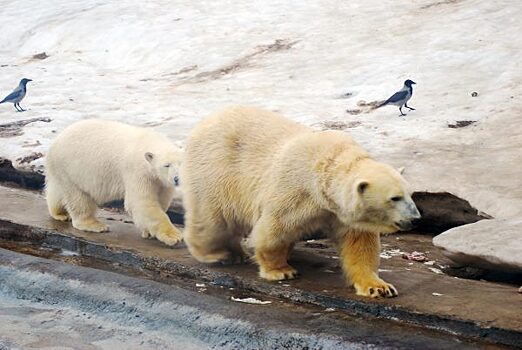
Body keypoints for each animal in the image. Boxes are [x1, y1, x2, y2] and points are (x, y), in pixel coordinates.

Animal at [45, 120, 183, 246]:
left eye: (181, 163)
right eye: (167, 165)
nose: (177, 178)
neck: (148, 141)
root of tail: (55, 143)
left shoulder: (161, 181)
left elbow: (161, 200)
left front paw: (148, 232)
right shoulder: (137, 171)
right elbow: (142, 203)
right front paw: (173, 236)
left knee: (57, 191)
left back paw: (60, 213)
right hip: (71, 168)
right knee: (78, 198)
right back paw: (95, 225)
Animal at [182, 106, 418, 298]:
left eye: (411, 194)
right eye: (394, 198)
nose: (415, 218)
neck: (325, 170)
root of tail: (203, 123)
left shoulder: (342, 213)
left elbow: (360, 245)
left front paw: (379, 287)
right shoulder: (296, 190)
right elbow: (274, 229)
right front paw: (281, 271)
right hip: (217, 171)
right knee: (213, 220)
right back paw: (220, 254)